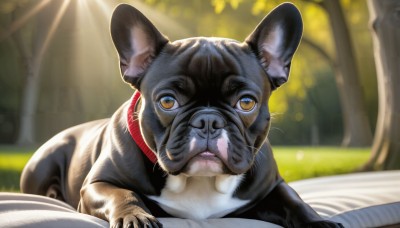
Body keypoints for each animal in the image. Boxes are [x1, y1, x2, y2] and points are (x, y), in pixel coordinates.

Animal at [20, 2, 342, 228]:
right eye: (167, 101)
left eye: (246, 103)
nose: (208, 120)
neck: (199, 182)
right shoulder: (97, 184)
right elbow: (121, 194)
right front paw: (135, 217)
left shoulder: (272, 188)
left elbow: (295, 201)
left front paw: (319, 221)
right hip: (42, 165)